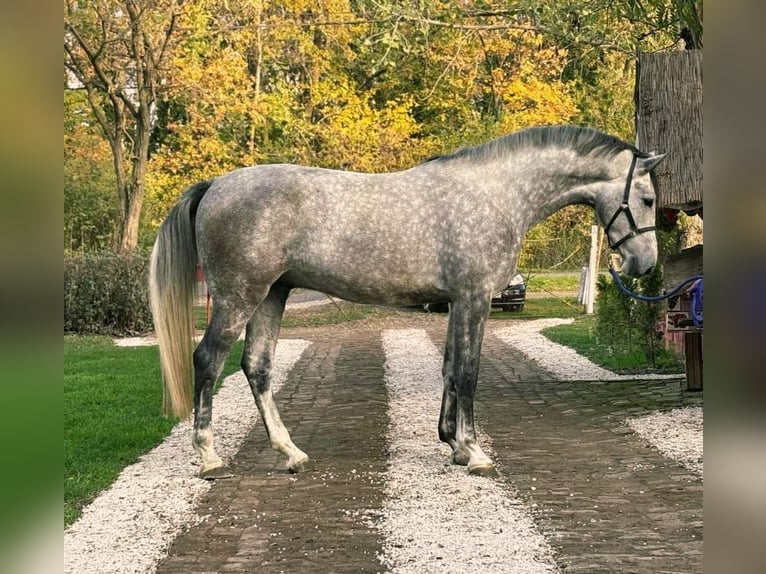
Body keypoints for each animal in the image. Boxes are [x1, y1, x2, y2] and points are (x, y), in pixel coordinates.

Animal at [150, 127, 664, 482]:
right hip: (240, 296)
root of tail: (216, 185)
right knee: (208, 360)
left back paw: (290, 453)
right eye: (647, 198)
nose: (644, 263)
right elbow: (468, 372)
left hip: (271, 296)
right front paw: (475, 453)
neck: (496, 194)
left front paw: (453, 444)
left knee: (257, 366)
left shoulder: (458, 302)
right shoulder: (475, 298)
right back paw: (209, 458)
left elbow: (451, 368)